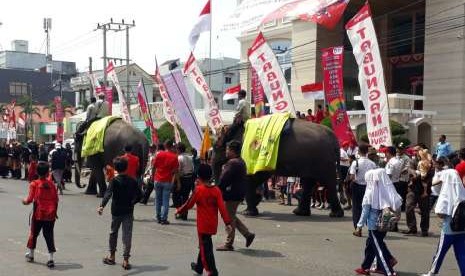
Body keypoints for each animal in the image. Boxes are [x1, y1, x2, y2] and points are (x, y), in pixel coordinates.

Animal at [212, 117, 342, 217]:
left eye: (216, 146)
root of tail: (334, 138)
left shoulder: (253, 154)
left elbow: (253, 177)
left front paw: (248, 213)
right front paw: (256, 200)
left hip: (324, 160)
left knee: (329, 182)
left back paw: (335, 214)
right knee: (308, 182)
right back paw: (300, 212)